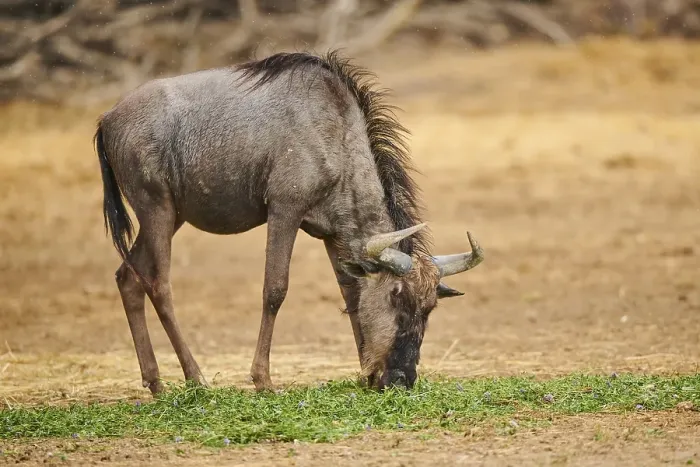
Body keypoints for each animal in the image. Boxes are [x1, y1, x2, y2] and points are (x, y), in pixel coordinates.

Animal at [94, 50, 484, 394]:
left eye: (429, 307)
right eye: (395, 296)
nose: (401, 379)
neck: (333, 134)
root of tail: (108, 119)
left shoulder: (334, 234)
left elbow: (350, 294)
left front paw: (363, 373)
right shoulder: (285, 210)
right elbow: (275, 290)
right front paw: (263, 381)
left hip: (172, 215)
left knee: (128, 277)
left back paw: (156, 383)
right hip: (156, 208)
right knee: (159, 285)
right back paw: (196, 379)